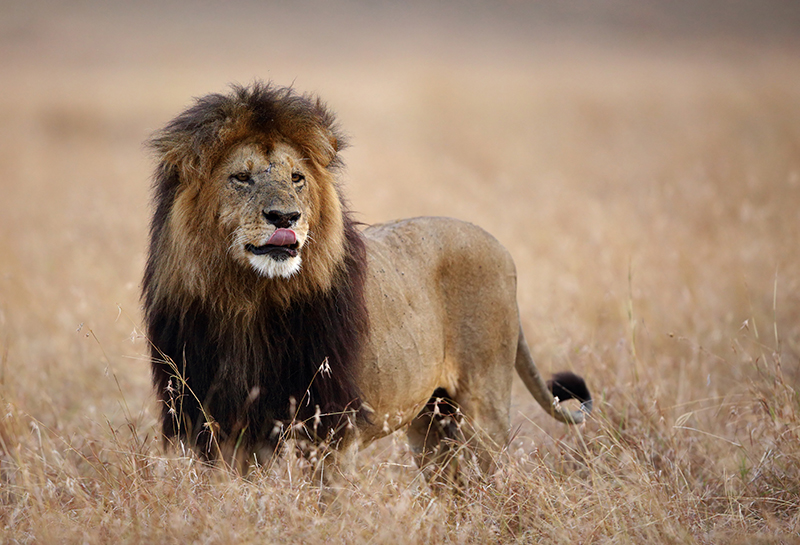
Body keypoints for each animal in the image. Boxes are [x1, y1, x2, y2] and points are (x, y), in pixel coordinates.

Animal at [144, 81, 592, 480]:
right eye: (241, 177)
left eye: (296, 178)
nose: (285, 217)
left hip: (484, 406)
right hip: (432, 424)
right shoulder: (222, 430)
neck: (249, 300)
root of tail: (500, 246)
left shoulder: (330, 430)